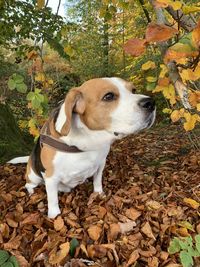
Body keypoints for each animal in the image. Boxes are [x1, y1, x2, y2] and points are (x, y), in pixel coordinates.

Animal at [20, 76, 155, 219]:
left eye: (133, 90)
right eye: (109, 96)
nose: (151, 103)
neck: (88, 140)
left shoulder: (101, 163)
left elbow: (97, 181)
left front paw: (99, 193)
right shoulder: (51, 178)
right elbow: (52, 200)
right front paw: (54, 216)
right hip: (34, 177)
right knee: (28, 184)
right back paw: (32, 192)